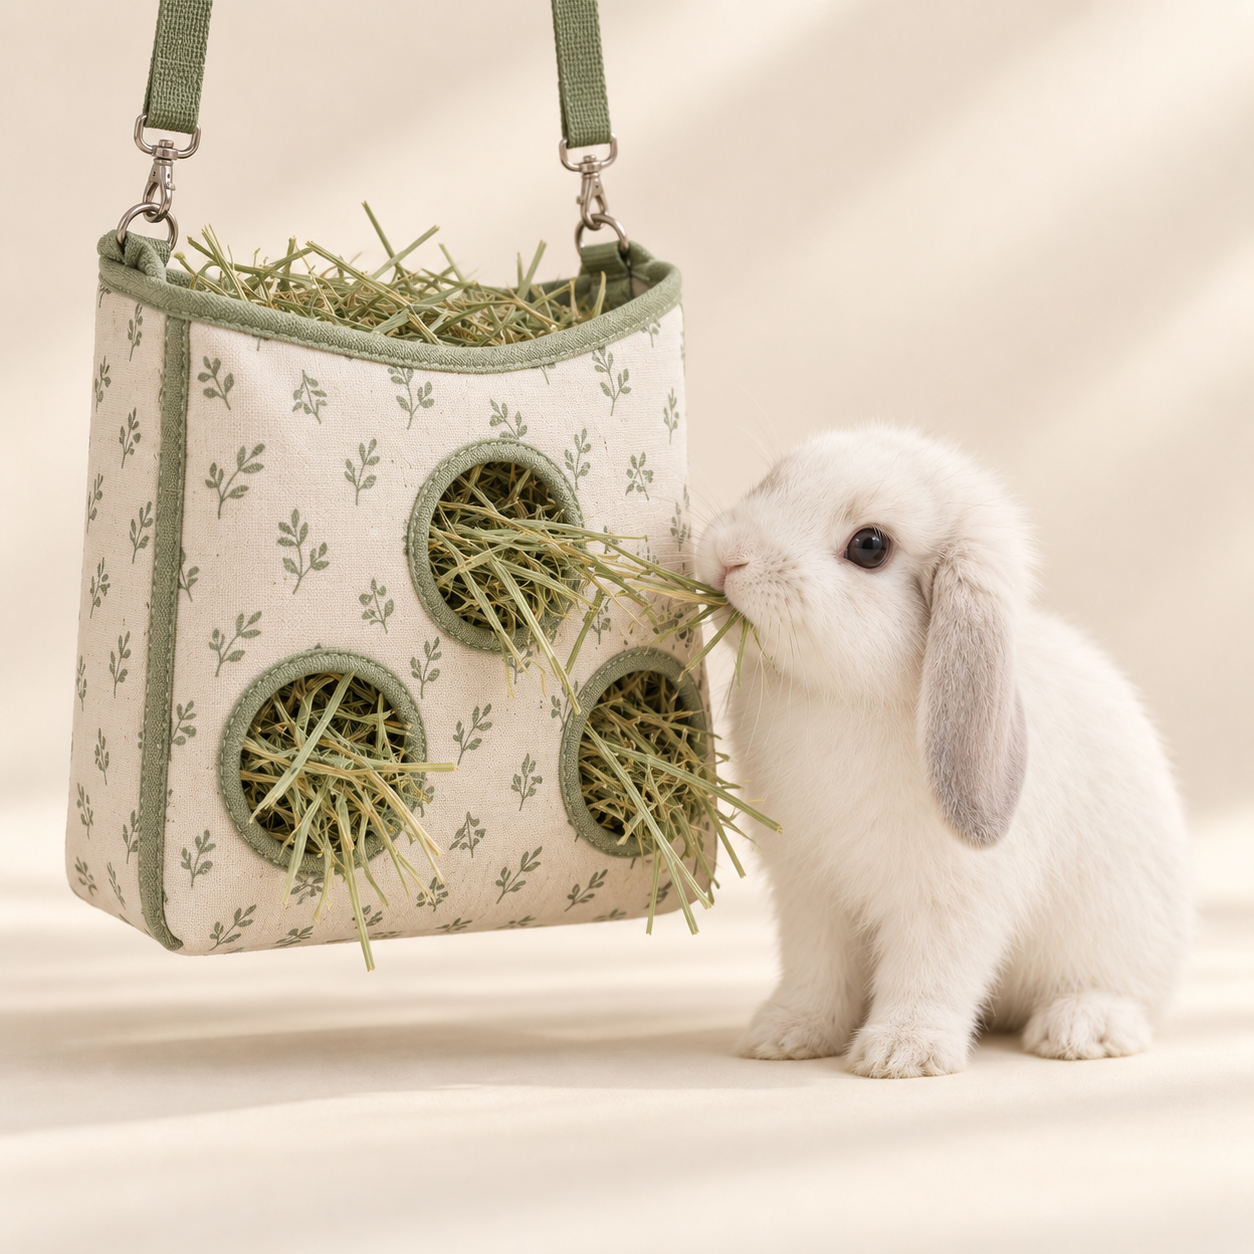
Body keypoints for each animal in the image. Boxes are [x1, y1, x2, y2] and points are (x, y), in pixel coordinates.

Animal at [695, 425, 1191, 1078]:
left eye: (870, 547)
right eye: (772, 481)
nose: (731, 555)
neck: (840, 697)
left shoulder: (949, 900)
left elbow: (929, 974)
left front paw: (902, 1054)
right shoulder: (809, 892)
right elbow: (815, 973)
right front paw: (786, 1036)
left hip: (1118, 936)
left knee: (1124, 993)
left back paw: (1080, 1028)